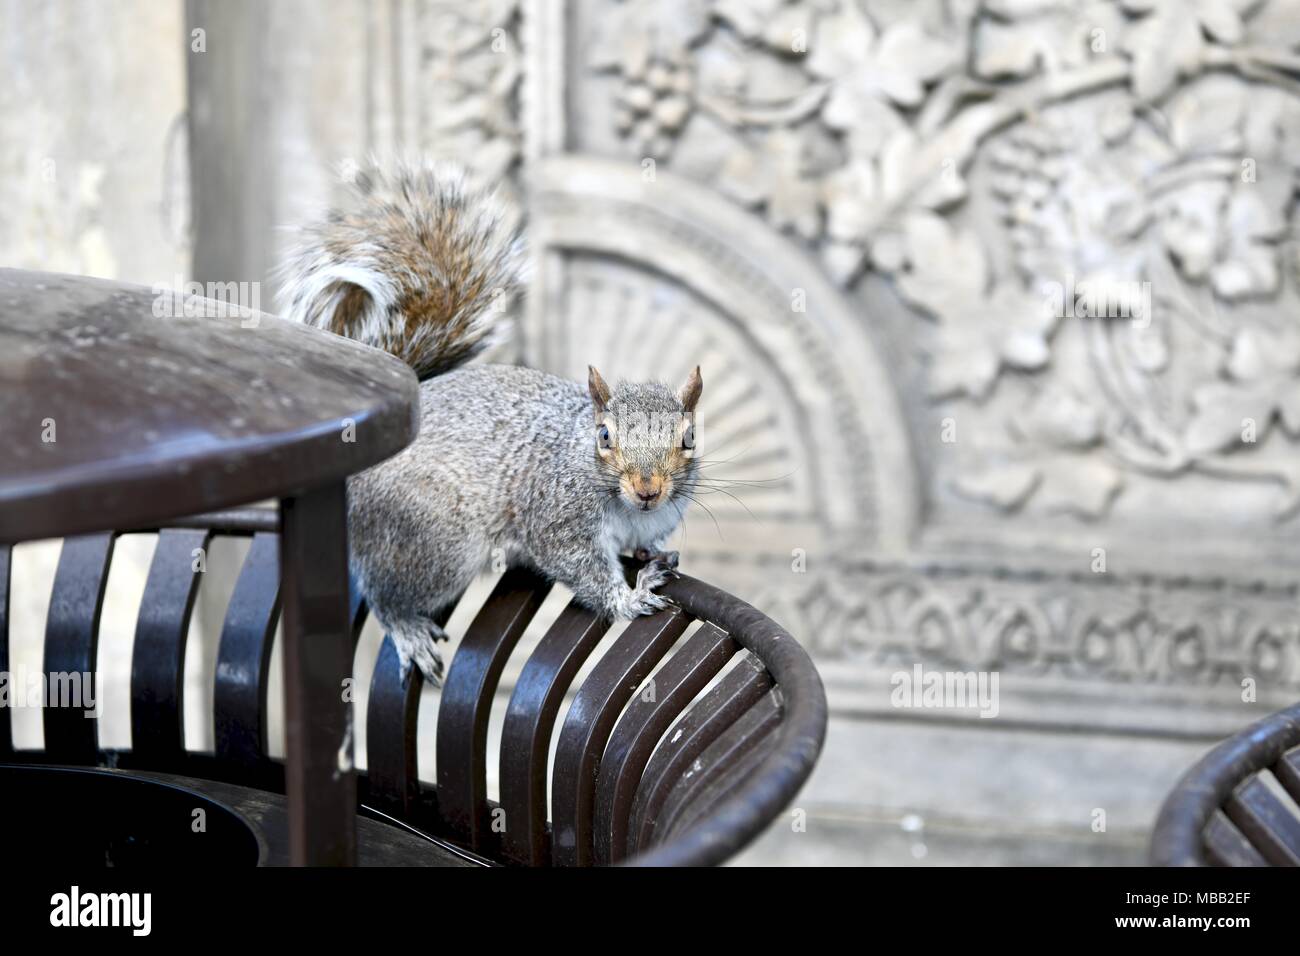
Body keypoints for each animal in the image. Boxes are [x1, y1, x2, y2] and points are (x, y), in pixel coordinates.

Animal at [278, 161, 701, 684]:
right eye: (604, 436)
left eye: (688, 438)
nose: (647, 489)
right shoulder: (557, 518)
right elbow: (579, 567)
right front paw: (630, 597)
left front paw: (652, 558)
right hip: (437, 540)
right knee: (387, 593)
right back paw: (407, 627)